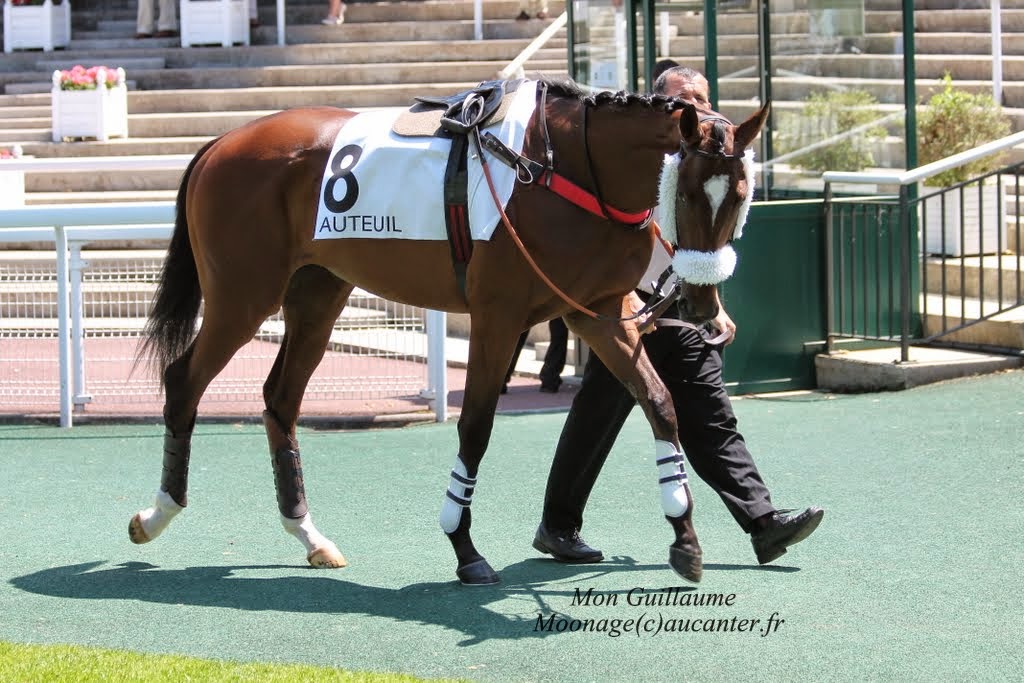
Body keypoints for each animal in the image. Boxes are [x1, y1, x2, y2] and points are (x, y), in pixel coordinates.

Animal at [130, 77, 770, 585]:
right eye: (688, 192)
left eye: (740, 196)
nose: (700, 305)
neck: (562, 167)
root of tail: (221, 142)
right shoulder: (499, 318)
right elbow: (475, 430)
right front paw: (464, 548)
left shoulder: (597, 311)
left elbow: (660, 403)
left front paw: (685, 538)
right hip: (242, 297)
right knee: (183, 381)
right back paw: (157, 513)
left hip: (316, 294)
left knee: (280, 401)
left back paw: (308, 535)